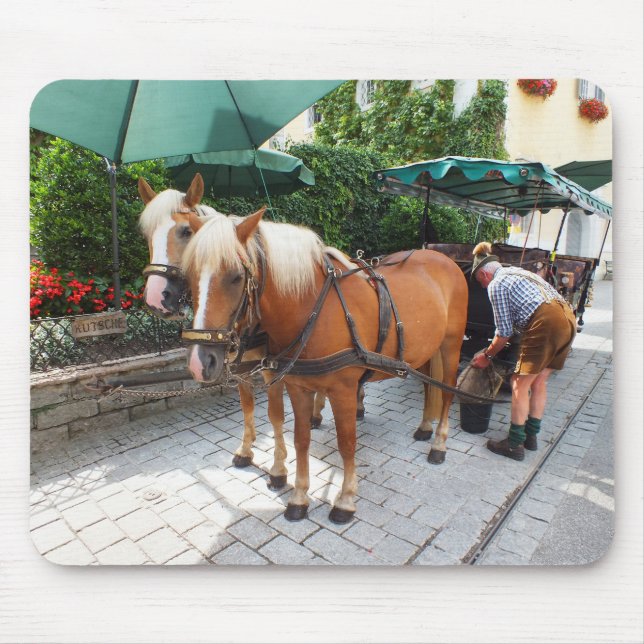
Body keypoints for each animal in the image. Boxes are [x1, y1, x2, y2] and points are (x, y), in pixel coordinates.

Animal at [181, 208, 468, 523]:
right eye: (190, 275)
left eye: (235, 277)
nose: (199, 362)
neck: (313, 307)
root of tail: (445, 259)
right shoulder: (297, 387)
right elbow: (301, 438)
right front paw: (299, 497)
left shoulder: (343, 390)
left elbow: (346, 443)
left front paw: (345, 499)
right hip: (428, 349)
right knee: (430, 388)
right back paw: (425, 426)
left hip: (451, 346)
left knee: (447, 392)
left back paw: (439, 443)